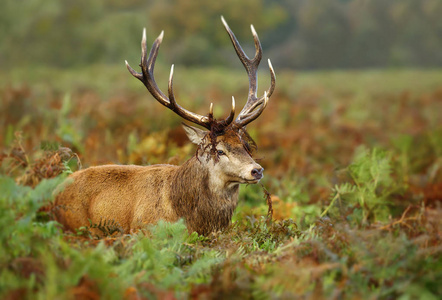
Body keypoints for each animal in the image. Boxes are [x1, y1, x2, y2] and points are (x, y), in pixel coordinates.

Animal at [53, 17, 274, 237]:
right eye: (219, 150)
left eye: (245, 146)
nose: (257, 170)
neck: (191, 219)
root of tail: (53, 194)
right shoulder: (142, 229)